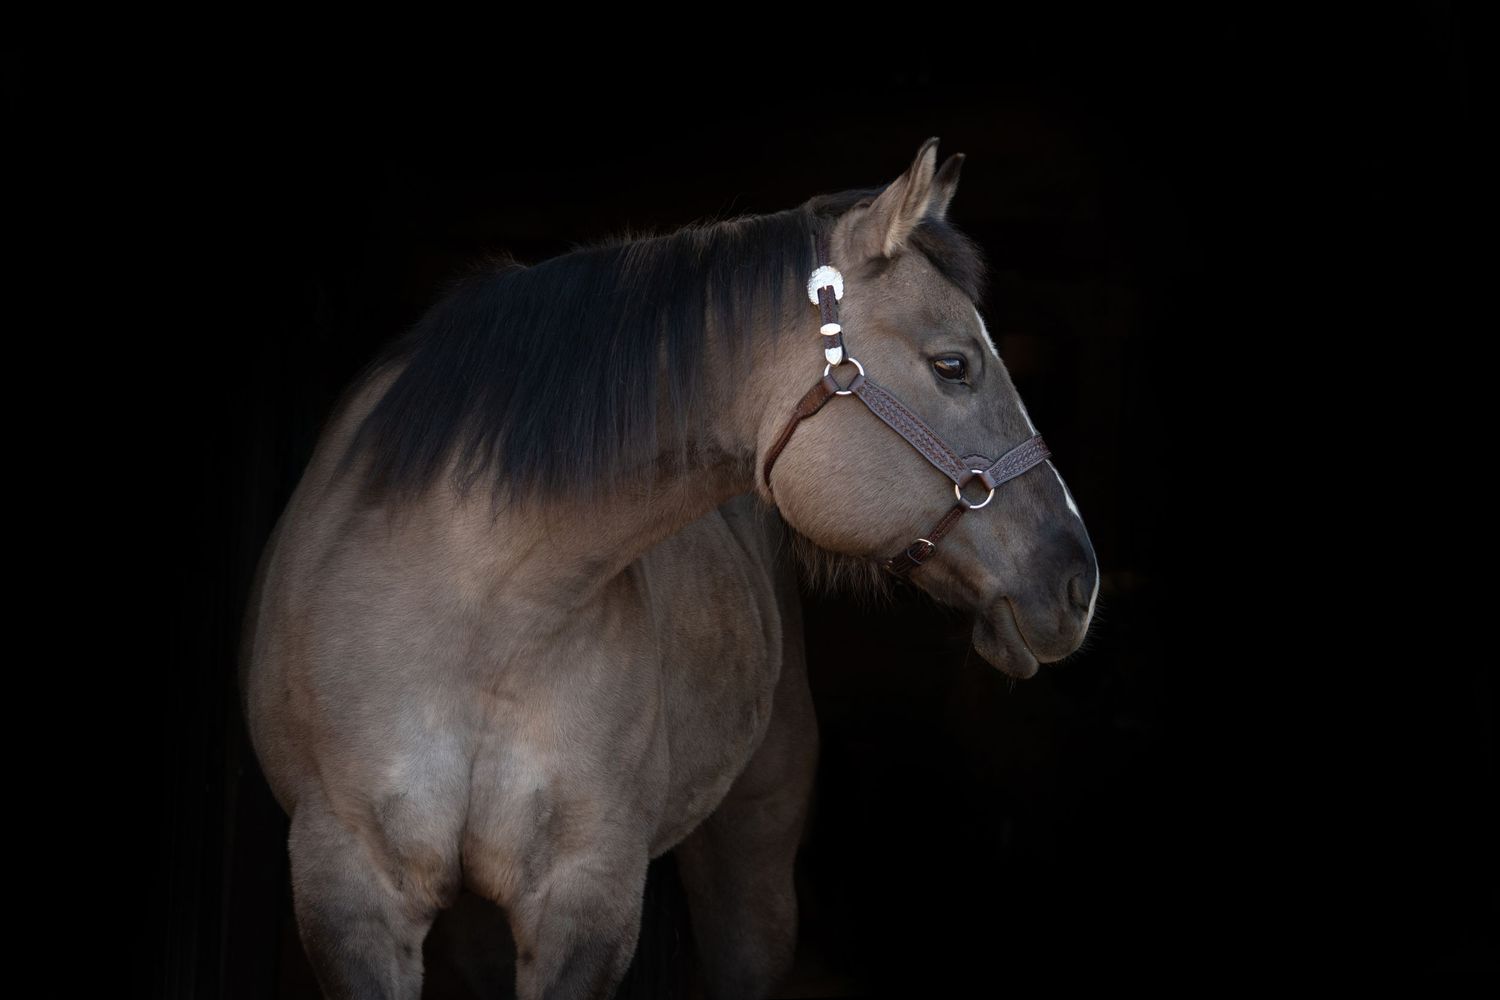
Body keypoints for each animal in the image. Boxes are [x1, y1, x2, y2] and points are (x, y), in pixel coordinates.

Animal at [238, 136, 1099, 1000]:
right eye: (953, 365)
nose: (1077, 579)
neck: (480, 615)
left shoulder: (587, 895)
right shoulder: (348, 891)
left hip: (750, 859)